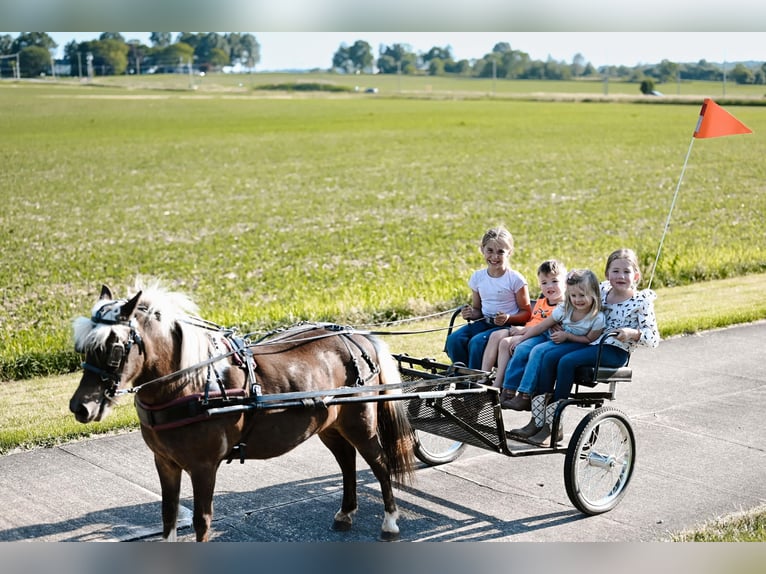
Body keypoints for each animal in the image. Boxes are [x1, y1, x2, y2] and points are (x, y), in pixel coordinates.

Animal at [69, 284, 416, 544]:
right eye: (82, 348)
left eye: (115, 348)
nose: (80, 407)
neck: (192, 384)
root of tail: (356, 336)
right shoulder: (165, 462)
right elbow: (168, 516)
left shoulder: (203, 466)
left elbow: (202, 521)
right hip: (329, 425)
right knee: (347, 461)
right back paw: (346, 512)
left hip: (360, 423)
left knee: (380, 463)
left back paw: (389, 522)